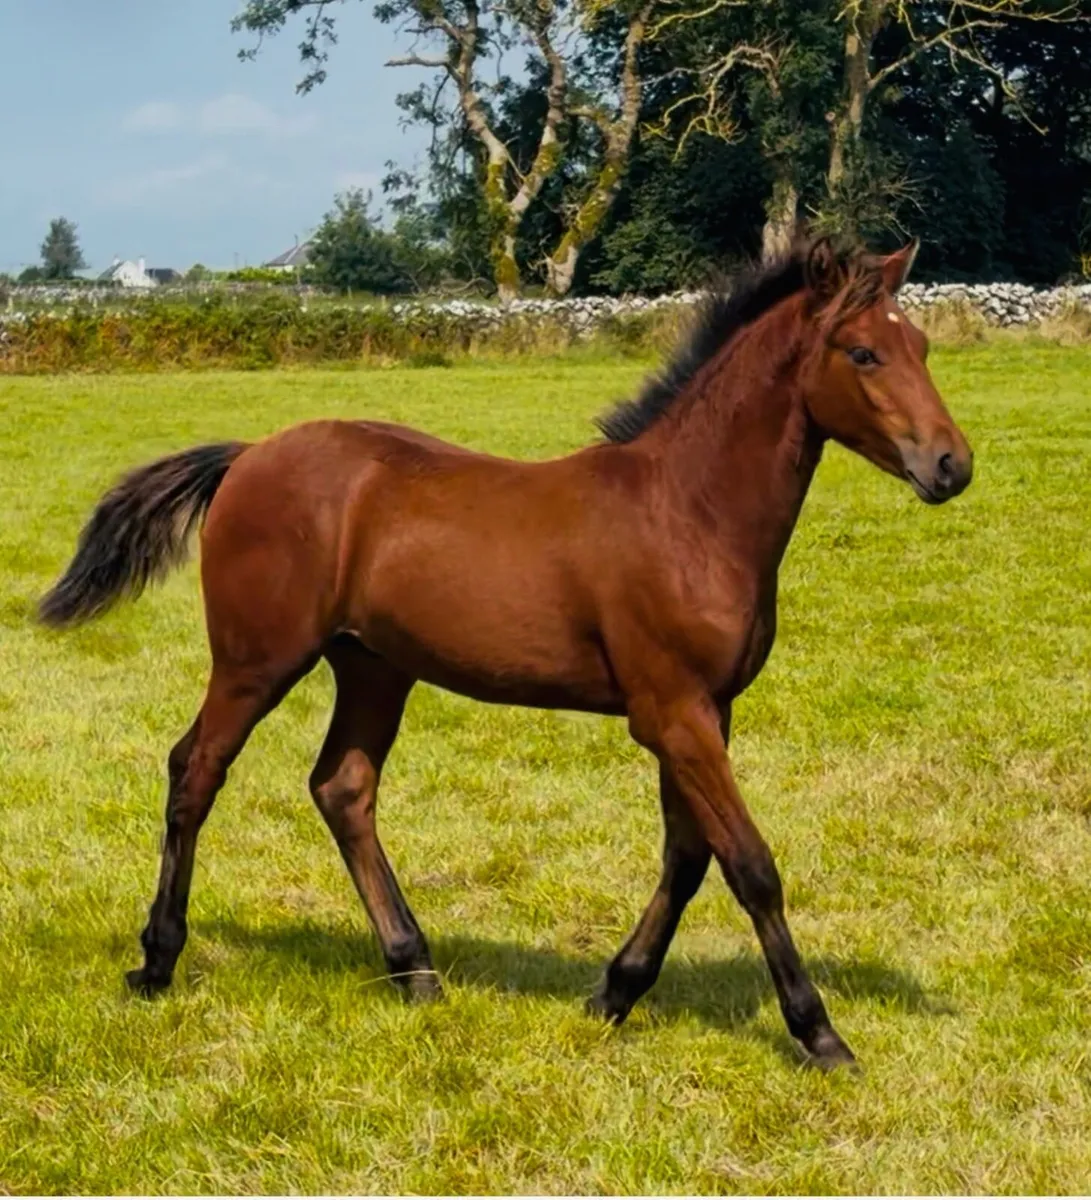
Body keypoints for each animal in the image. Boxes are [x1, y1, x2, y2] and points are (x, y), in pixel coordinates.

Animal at [39, 237, 972, 1070]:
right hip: (255, 660)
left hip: (374, 667)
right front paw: (819, 1035)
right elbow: (749, 864)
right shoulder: (672, 715)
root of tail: (246, 458)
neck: (687, 511)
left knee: (342, 788)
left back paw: (414, 970)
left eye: (921, 347)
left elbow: (687, 856)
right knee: (195, 769)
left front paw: (614, 992)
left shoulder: (708, 712)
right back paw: (157, 960)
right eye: (862, 352)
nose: (950, 465)